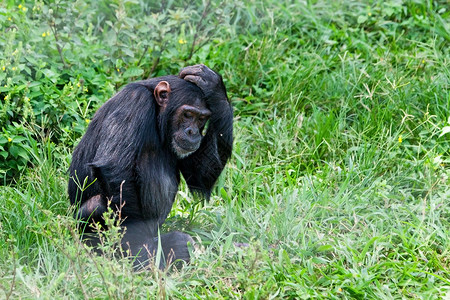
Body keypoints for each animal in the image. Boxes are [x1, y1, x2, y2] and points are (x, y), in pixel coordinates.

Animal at [69, 64, 236, 268]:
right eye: (188, 114)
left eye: (201, 119)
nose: (193, 132)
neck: (157, 114)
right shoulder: (134, 102)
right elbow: (115, 167)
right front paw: (140, 250)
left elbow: (199, 176)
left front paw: (214, 88)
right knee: (96, 205)